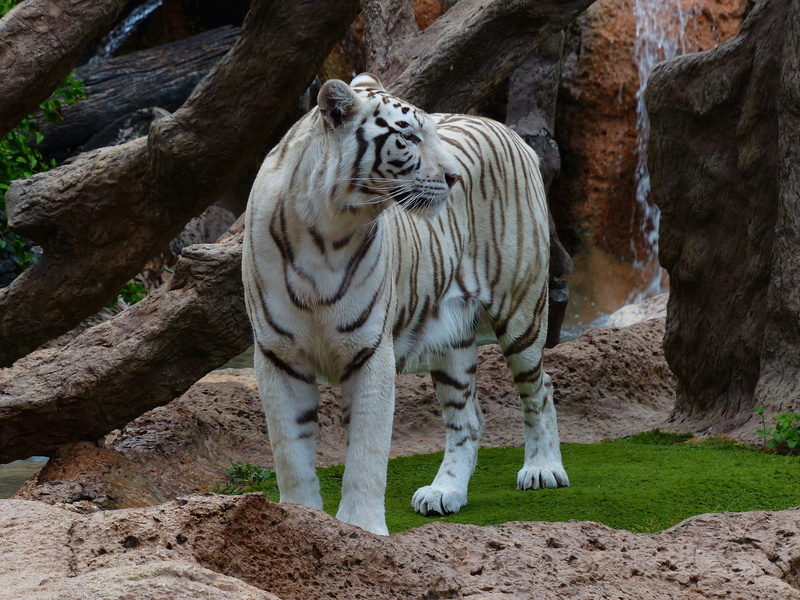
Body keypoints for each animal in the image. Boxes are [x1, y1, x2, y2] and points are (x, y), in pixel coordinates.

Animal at [242, 73, 569, 536]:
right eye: (409, 137)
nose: (454, 177)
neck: (326, 232)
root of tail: (504, 127)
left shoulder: (370, 349)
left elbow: (367, 451)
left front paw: (362, 529)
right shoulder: (278, 355)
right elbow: (291, 453)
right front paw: (299, 521)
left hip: (521, 308)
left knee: (540, 388)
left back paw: (543, 469)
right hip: (451, 338)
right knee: (468, 418)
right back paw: (445, 491)